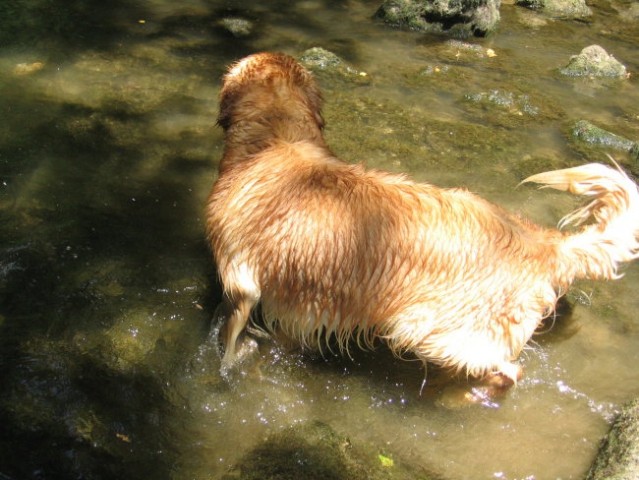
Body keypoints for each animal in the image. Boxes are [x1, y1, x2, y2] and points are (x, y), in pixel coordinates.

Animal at [208, 51, 636, 386]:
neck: (276, 141)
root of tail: (545, 242)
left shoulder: (240, 283)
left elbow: (230, 335)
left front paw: (232, 362)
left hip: (433, 332)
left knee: (506, 371)